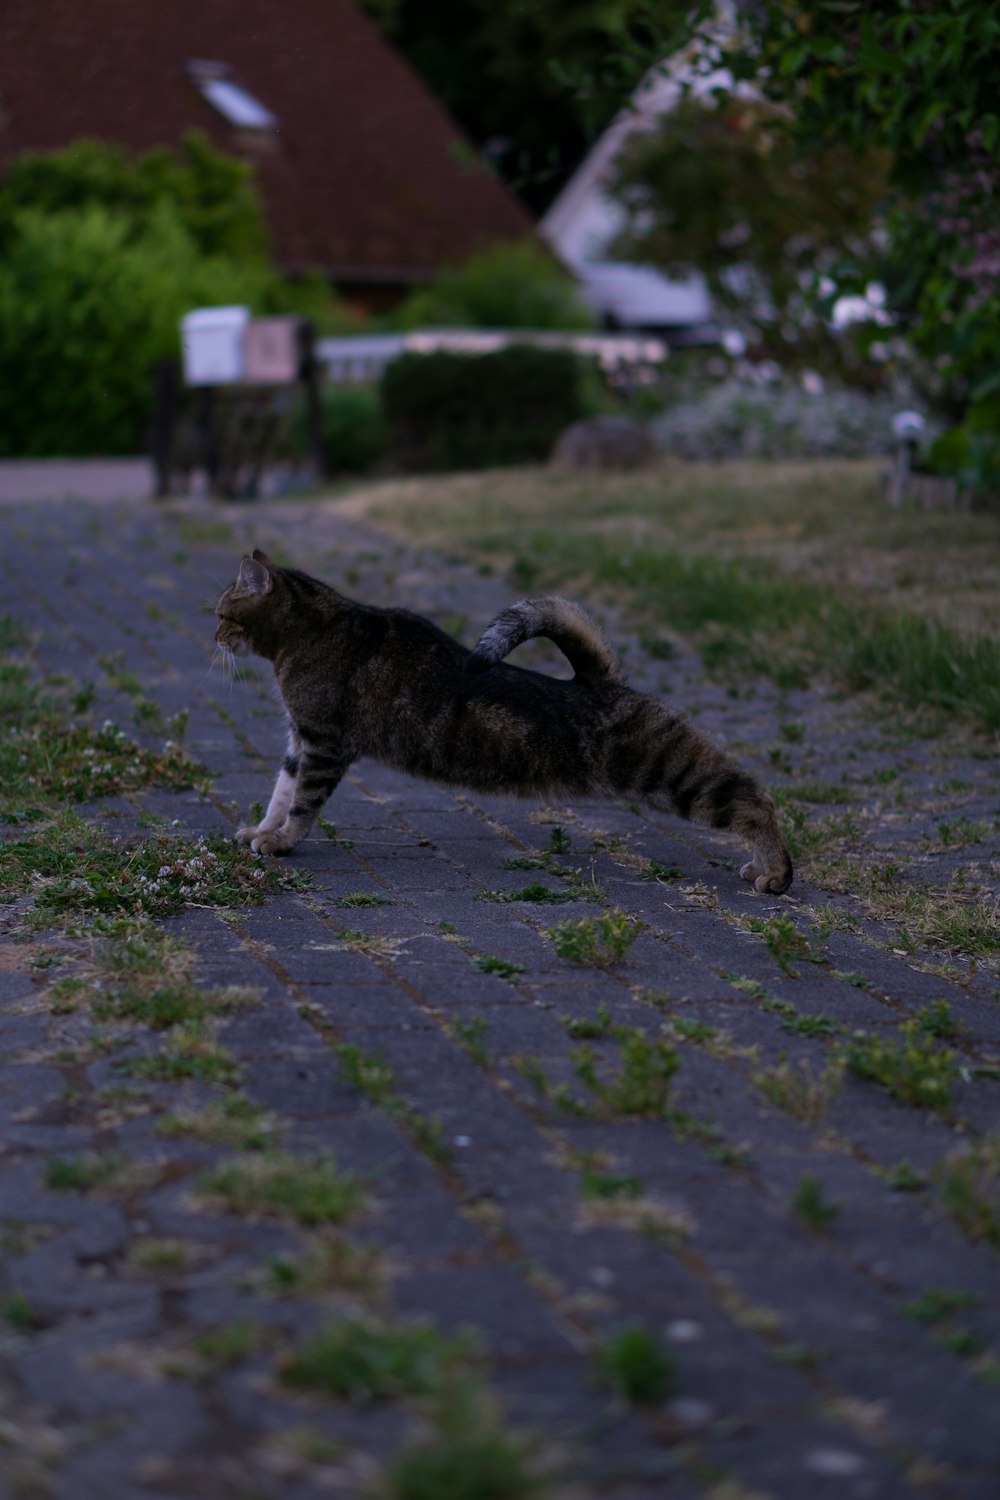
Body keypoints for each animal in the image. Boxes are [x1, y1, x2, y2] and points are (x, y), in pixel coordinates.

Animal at [215, 558, 791, 894]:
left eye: (223, 612)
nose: (214, 634)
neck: (309, 628)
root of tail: (600, 681)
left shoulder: (322, 742)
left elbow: (303, 802)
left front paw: (282, 842)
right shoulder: (299, 739)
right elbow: (281, 791)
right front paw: (263, 831)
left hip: (670, 771)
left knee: (753, 800)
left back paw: (775, 872)